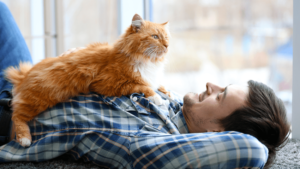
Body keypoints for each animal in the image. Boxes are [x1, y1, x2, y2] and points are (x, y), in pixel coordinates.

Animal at [4, 13, 171, 147]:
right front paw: (157, 98)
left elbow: (158, 85)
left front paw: (167, 93)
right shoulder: (109, 84)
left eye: (166, 37)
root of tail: (24, 75)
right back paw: (25, 139)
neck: (147, 61)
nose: (167, 45)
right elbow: (142, 86)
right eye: (155, 37)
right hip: (40, 98)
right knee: (16, 115)